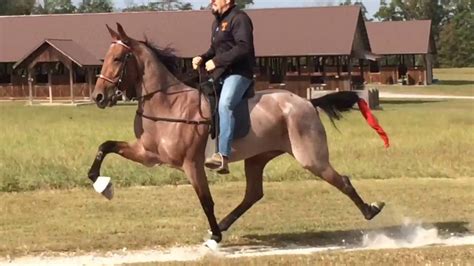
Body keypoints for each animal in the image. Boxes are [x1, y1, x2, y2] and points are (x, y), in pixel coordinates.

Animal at [87, 23, 386, 248]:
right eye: (105, 58)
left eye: (117, 58)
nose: (98, 96)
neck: (168, 104)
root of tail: (307, 102)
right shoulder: (148, 154)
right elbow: (106, 146)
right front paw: (102, 184)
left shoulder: (191, 164)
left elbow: (206, 201)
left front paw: (215, 238)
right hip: (257, 158)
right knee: (253, 194)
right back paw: (221, 226)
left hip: (311, 158)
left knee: (342, 180)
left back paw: (371, 210)